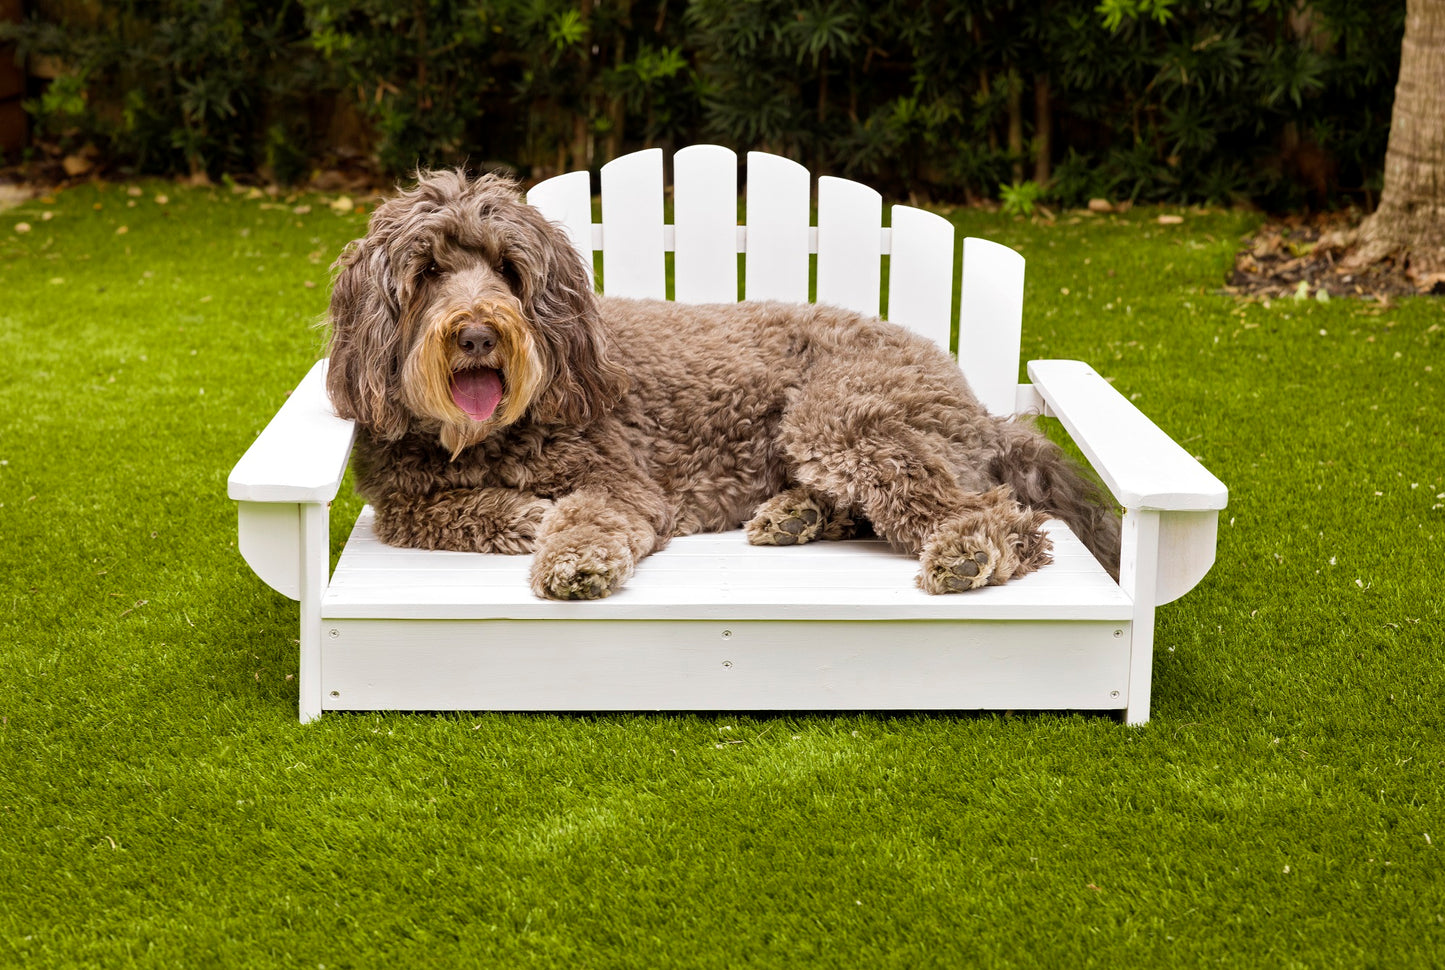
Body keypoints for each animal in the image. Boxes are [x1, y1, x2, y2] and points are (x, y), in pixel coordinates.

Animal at [325, 172, 1115, 598]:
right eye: (428, 271)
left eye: (508, 270)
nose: (478, 334)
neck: (483, 439)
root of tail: (980, 407)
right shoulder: (399, 500)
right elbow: (437, 515)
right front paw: (521, 515)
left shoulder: (620, 481)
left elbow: (587, 517)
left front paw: (570, 553)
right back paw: (798, 517)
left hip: (837, 416)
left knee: (998, 516)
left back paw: (965, 553)